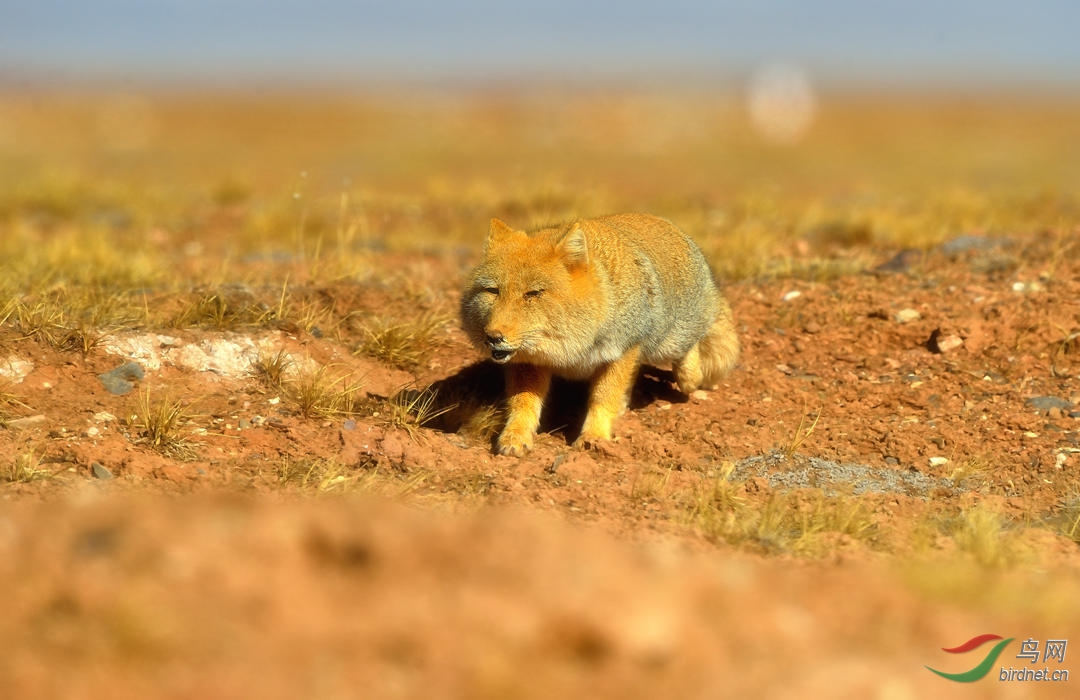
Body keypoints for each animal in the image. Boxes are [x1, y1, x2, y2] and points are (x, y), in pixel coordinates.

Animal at [460, 210, 738, 455]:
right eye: (493, 291)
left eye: (533, 293)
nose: (493, 336)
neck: (571, 350)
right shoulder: (529, 363)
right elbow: (523, 403)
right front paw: (515, 436)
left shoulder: (623, 351)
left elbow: (603, 397)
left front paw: (594, 437)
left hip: (668, 344)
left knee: (691, 353)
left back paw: (691, 375)